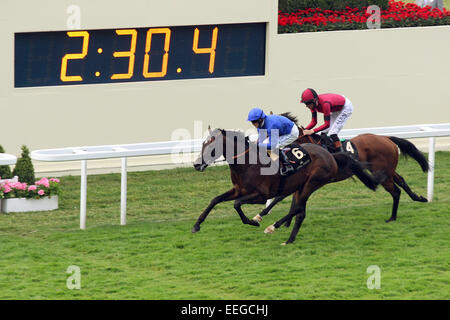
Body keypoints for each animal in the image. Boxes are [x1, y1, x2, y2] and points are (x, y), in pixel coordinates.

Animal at [192, 126, 380, 244]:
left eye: (212, 147)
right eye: (203, 144)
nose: (196, 164)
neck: (248, 164)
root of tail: (330, 155)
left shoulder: (260, 195)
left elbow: (237, 204)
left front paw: (253, 222)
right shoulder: (239, 190)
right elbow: (215, 200)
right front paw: (196, 225)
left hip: (312, 183)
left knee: (297, 208)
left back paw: (272, 227)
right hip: (300, 186)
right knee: (300, 211)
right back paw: (289, 239)